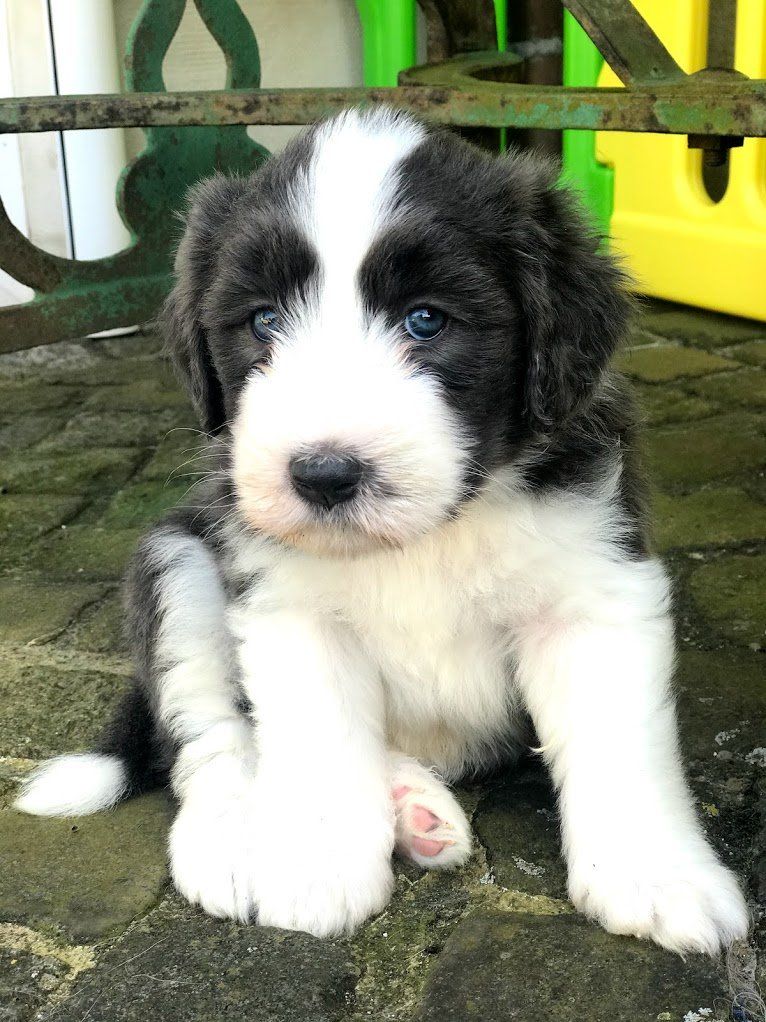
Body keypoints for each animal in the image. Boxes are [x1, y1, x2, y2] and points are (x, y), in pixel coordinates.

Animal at [16, 108, 748, 953]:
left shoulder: (594, 587)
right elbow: (318, 747)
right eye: (264, 320)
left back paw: (412, 805)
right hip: (178, 563)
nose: (323, 475)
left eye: (426, 319)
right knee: (207, 736)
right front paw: (315, 869)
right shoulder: (287, 609)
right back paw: (235, 839)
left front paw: (660, 878)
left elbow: (620, 745)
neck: (428, 536)